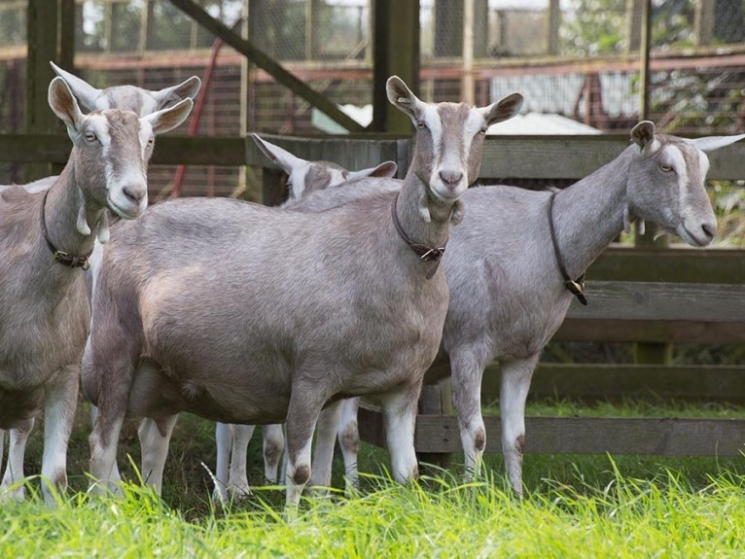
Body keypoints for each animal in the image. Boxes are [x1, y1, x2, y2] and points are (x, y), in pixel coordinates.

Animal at [81, 76, 524, 510]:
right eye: (421, 124)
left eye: (482, 130)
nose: (449, 179)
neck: (393, 254)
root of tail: (122, 230)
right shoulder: (311, 374)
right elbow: (299, 469)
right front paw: (295, 519)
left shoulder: (404, 384)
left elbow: (407, 473)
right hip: (115, 349)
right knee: (101, 446)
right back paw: (108, 510)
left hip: (164, 374)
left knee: (153, 440)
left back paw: (152, 507)